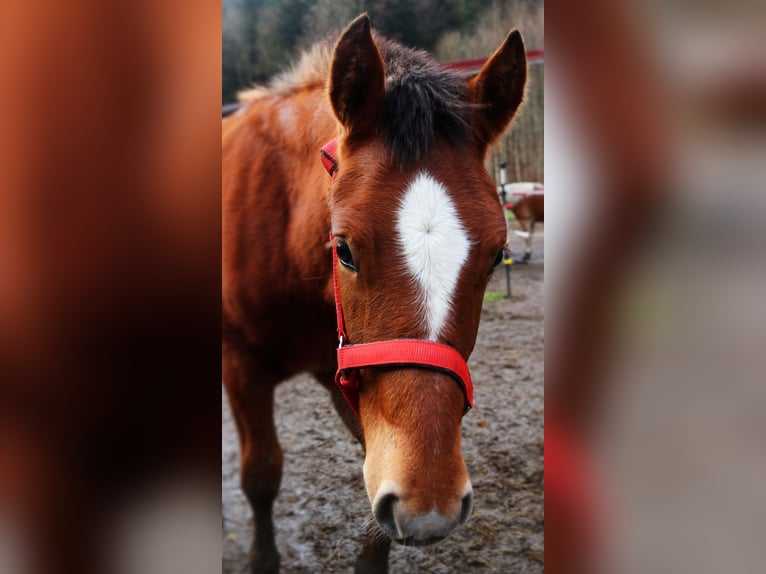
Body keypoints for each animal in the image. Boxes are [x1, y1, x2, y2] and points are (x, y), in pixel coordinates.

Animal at [222, 14, 528, 574]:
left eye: (498, 254)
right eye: (343, 248)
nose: (431, 510)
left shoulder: (350, 376)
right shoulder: (240, 364)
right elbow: (260, 475)